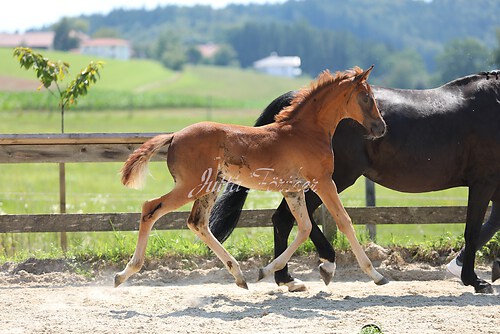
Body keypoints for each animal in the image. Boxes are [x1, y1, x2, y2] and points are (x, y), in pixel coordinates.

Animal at [210, 70, 500, 292]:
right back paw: (313, 268)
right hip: (334, 178)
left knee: (290, 219)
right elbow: (474, 229)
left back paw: (290, 277)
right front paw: (474, 279)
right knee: (287, 218)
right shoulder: (483, 182)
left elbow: (491, 224)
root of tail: (292, 98)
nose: (380, 128)